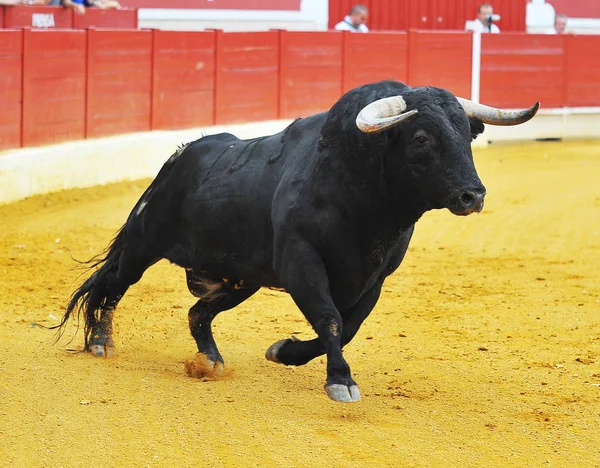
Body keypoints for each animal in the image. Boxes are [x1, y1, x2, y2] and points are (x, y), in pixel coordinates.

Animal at [57, 80, 540, 402]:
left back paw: (210, 360)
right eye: (421, 138)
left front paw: (284, 351)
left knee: (198, 312)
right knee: (113, 285)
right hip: (144, 243)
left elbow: (349, 325)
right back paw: (100, 341)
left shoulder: (376, 277)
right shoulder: (301, 263)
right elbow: (330, 319)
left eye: (467, 136)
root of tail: (179, 157)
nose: (473, 195)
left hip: (241, 278)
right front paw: (341, 381)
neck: (362, 197)